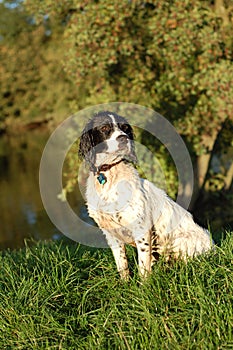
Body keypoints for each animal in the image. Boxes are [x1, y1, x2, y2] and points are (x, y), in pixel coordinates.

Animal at [79, 110, 214, 278]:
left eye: (125, 128)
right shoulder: (110, 234)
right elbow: (122, 265)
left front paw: (144, 284)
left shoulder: (141, 229)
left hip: (179, 240)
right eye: (104, 128)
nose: (124, 138)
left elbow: (143, 266)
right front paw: (125, 283)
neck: (109, 177)